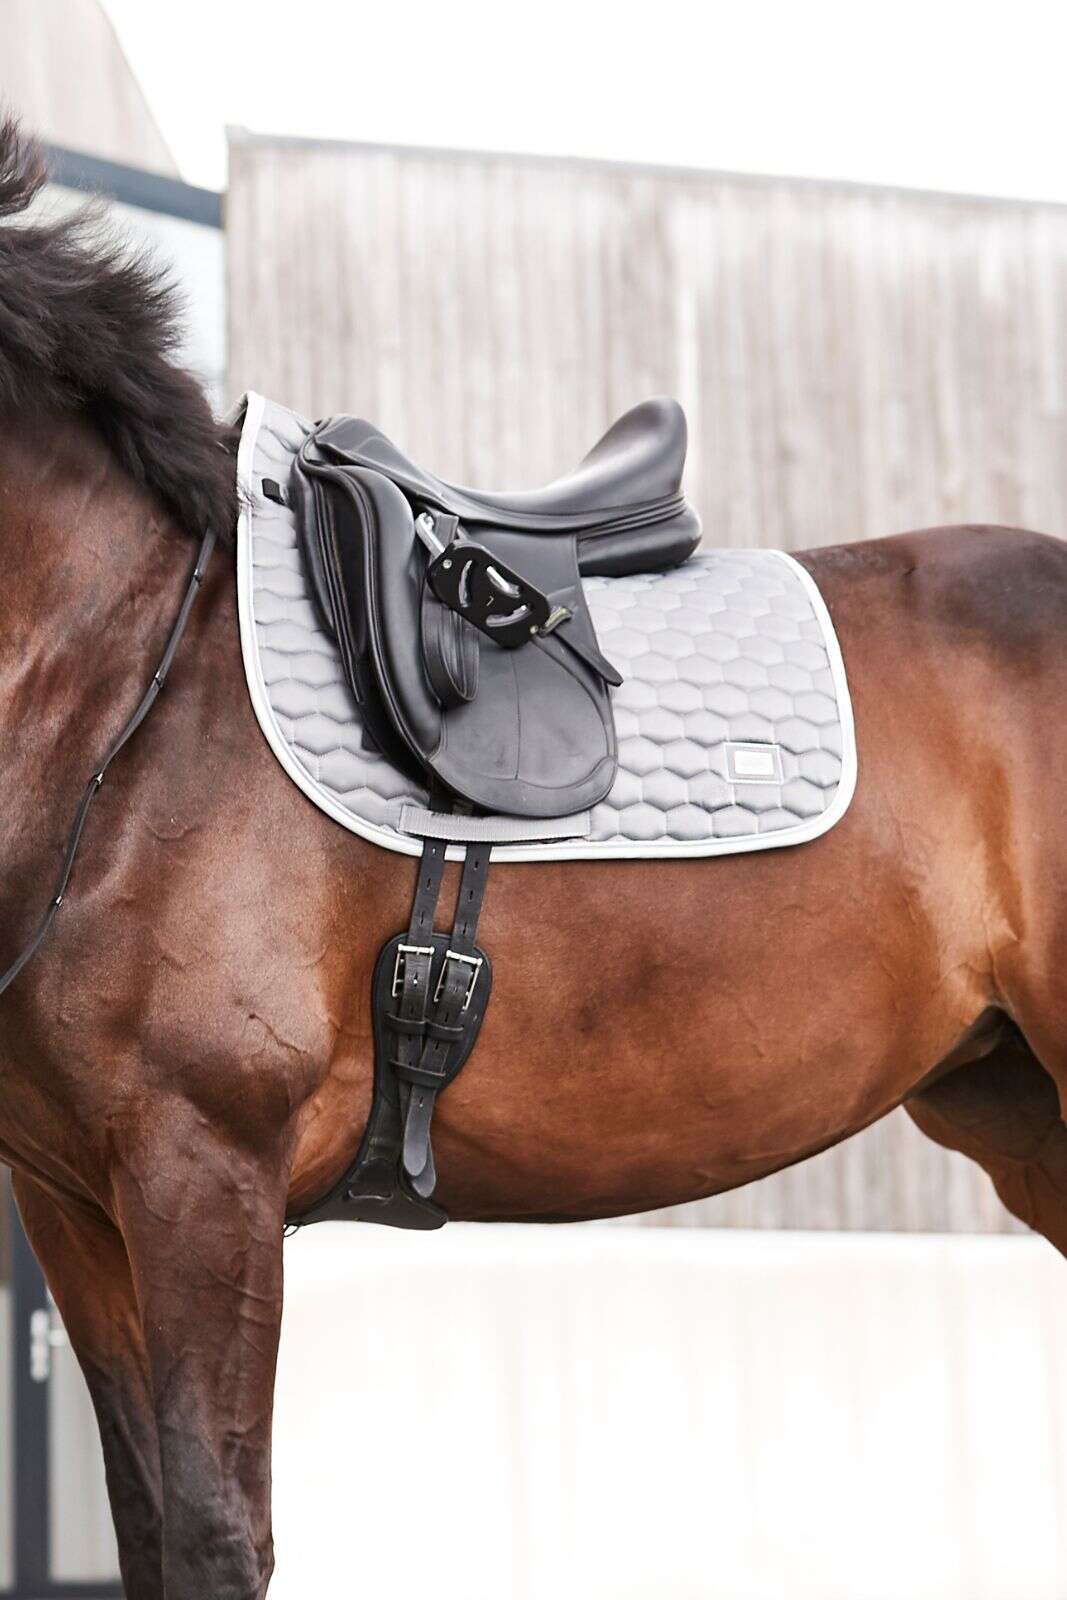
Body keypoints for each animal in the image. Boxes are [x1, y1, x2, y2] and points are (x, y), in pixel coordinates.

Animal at [2, 115, 1067, 1600]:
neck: (120, 690)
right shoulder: (76, 1204)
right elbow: (154, 1526)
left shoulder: (201, 1167)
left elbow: (216, 1534)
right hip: (1011, 1102)